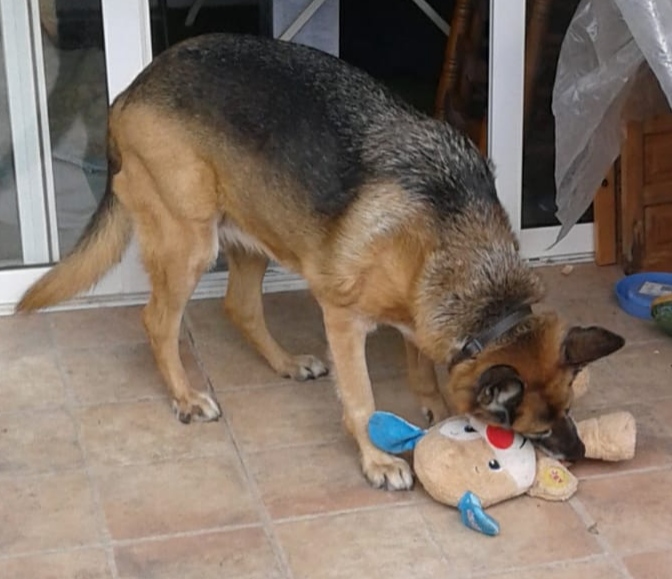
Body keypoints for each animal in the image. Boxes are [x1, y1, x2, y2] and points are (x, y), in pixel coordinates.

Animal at [17, 33, 624, 490]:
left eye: (570, 406)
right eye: (535, 431)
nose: (578, 455)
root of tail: (130, 89)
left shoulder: (417, 309)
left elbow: (422, 367)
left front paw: (435, 410)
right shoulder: (345, 318)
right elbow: (361, 400)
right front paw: (378, 461)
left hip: (256, 232)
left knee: (240, 307)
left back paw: (286, 363)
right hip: (190, 242)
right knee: (158, 321)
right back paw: (186, 397)